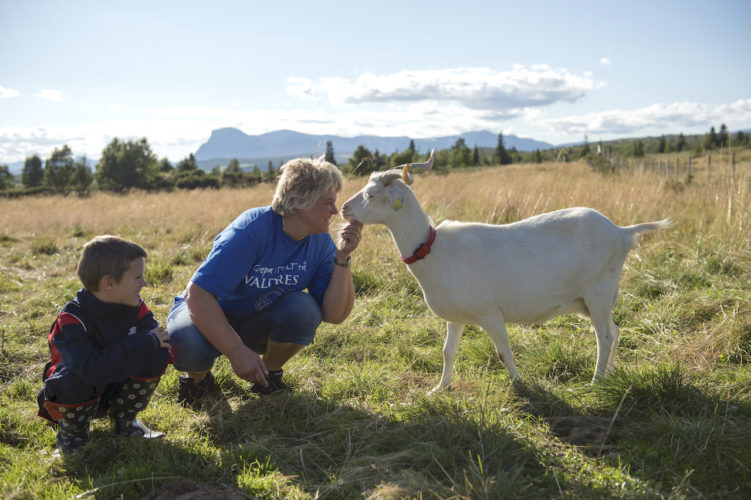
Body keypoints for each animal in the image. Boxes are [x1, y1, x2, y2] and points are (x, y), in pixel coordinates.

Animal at [342, 150, 676, 392]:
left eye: (371, 195)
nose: (344, 208)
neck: (434, 249)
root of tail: (621, 232)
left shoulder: (490, 313)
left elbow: (504, 352)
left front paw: (519, 384)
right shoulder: (455, 317)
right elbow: (448, 351)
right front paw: (439, 388)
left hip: (598, 291)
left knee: (604, 337)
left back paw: (594, 383)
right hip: (594, 301)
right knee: (615, 331)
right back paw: (610, 375)